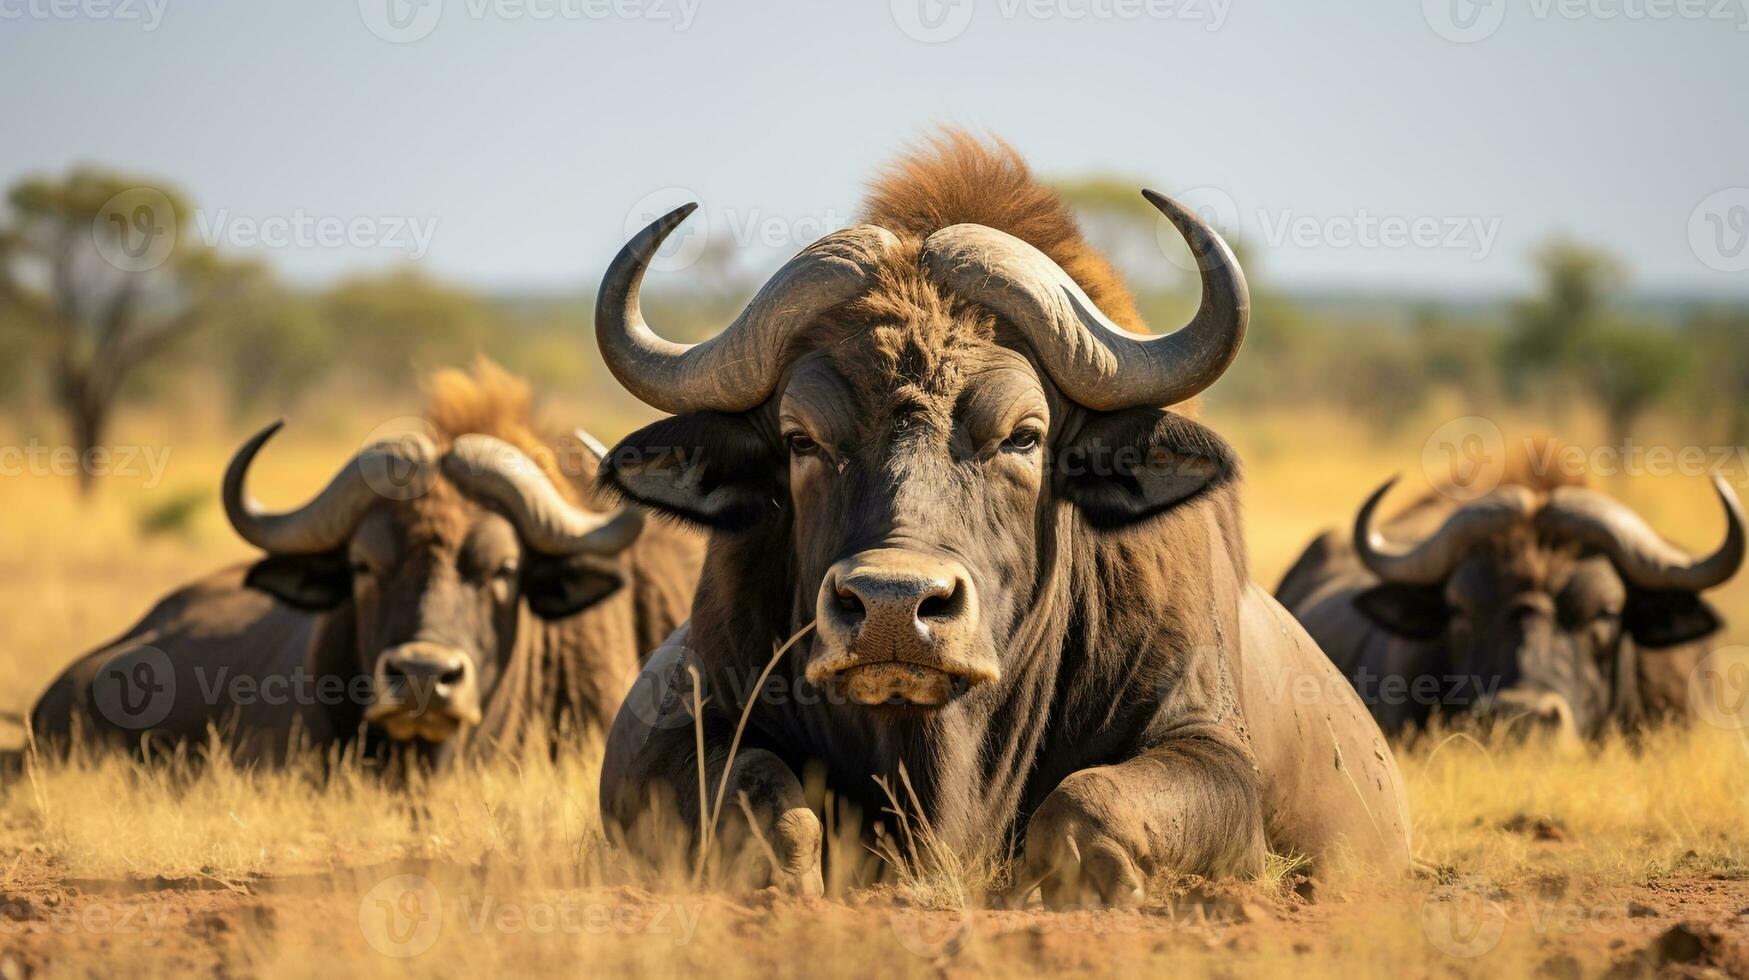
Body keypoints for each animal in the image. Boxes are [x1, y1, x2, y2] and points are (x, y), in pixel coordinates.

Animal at [594, 133, 1413, 910]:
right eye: (801, 439)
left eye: (1022, 435)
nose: (892, 608)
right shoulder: (686, 728)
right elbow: (768, 800)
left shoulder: (1211, 751)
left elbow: (1087, 802)